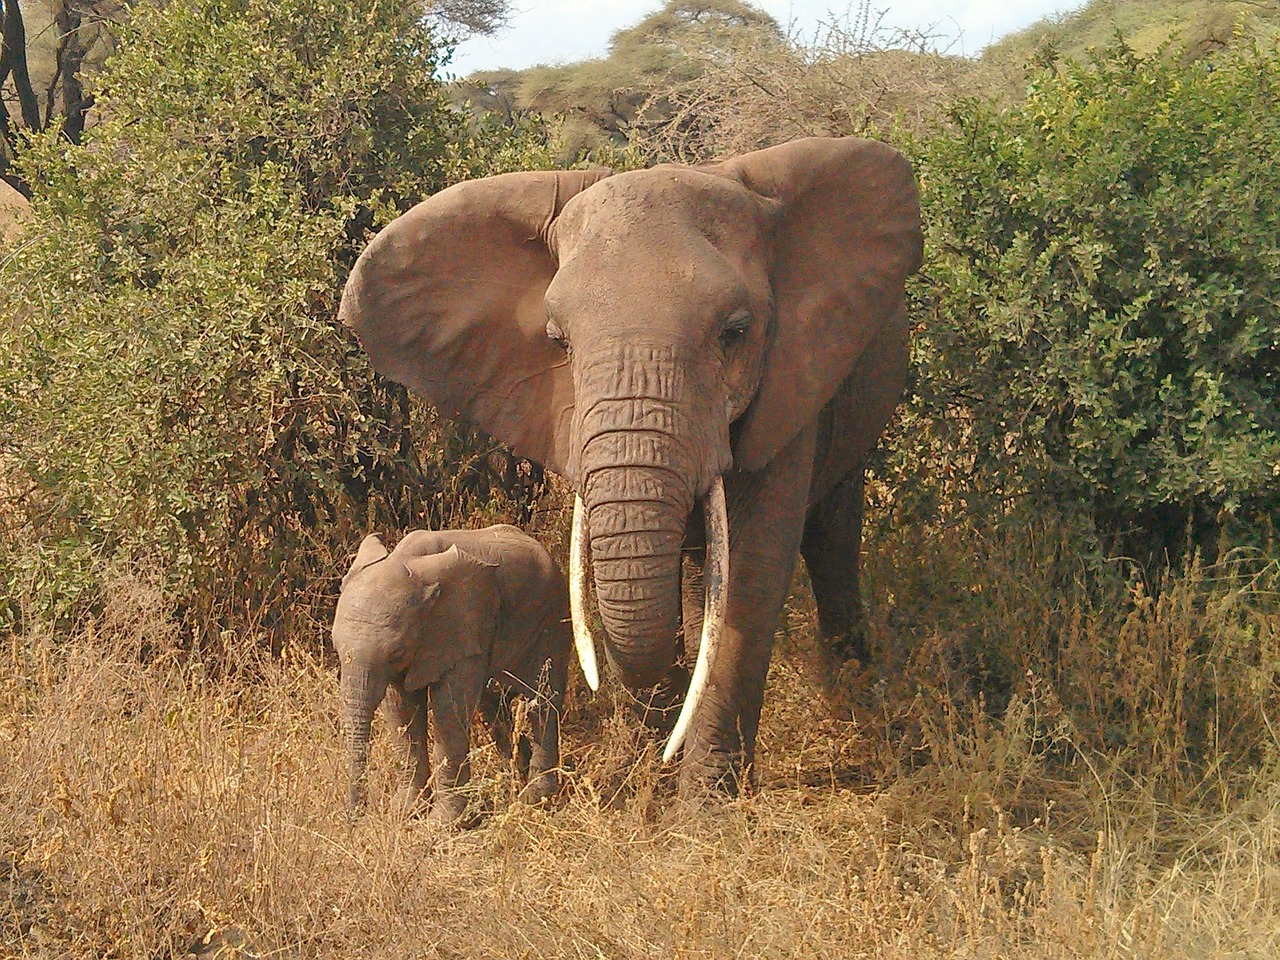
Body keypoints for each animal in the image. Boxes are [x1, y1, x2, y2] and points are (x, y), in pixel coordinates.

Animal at [332, 527, 568, 829]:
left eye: (397, 652)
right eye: (336, 647)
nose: (353, 820)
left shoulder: (464, 629)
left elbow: (448, 711)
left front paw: (442, 824)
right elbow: (400, 711)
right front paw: (405, 812)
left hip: (552, 616)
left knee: (543, 700)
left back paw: (536, 796)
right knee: (493, 706)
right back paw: (516, 773)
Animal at [340, 136, 921, 798]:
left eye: (736, 332)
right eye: (558, 341)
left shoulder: (790, 378)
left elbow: (751, 573)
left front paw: (704, 805)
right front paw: (653, 771)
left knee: (830, 536)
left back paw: (852, 703)